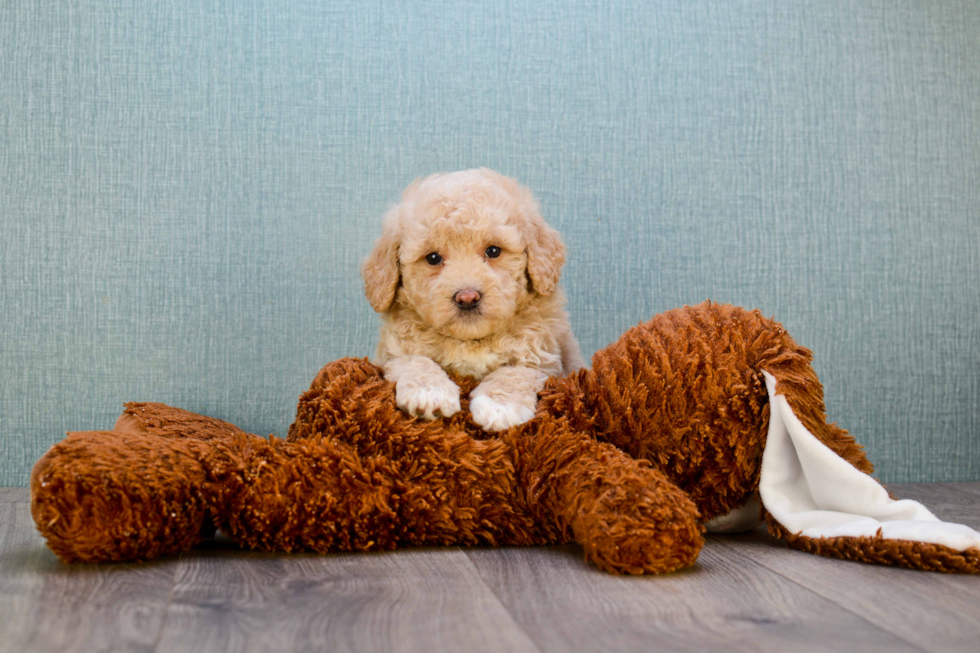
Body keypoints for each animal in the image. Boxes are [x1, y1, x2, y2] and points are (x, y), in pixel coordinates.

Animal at [364, 171, 584, 430]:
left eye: (493, 251)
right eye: (433, 258)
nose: (467, 297)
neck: (470, 341)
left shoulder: (541, 357)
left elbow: (514, 373)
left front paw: (499, 406)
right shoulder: (394, 351)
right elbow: (415, 361)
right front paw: (429, 393)